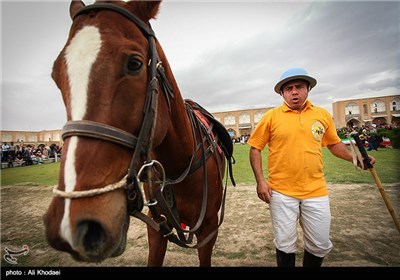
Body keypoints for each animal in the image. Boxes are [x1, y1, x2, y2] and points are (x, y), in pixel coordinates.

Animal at [43, 0, 234, 266]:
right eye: (56, 74)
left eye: (135, 63)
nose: (76, 223)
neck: (179, 167)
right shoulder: (157, 229)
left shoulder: (208, 230)